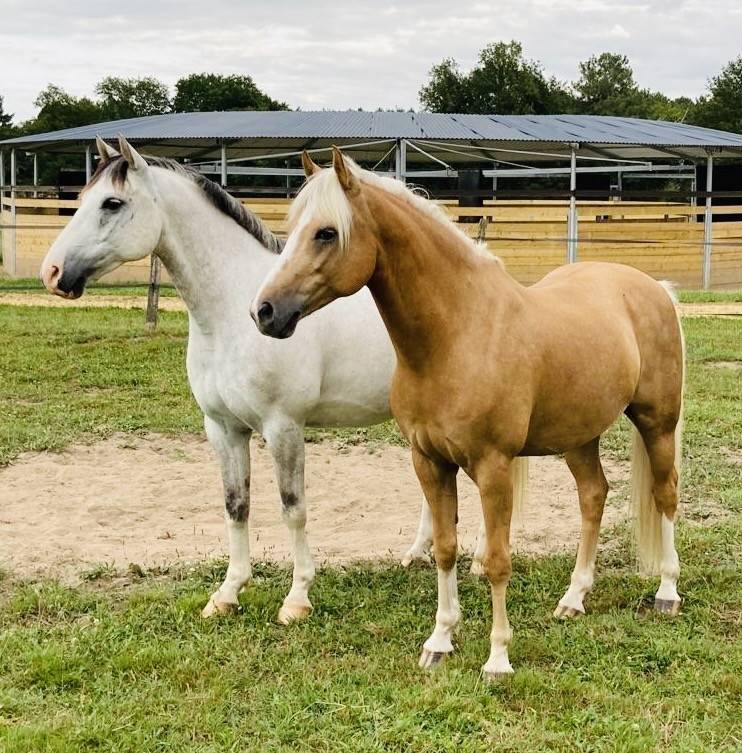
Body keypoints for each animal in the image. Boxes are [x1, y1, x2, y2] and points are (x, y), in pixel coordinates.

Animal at [39, 135, 444, 622]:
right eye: (80, 199)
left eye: (112, 203)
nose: (52, 273)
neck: (232, 313)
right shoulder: (223, 428)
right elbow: (236, 507)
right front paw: (227, 593)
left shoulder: (283, 427)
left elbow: (293, 509)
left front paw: (297, 599)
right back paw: (418, 553)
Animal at [251, 148, 685, 679]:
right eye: (294, 227)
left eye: (326, 233)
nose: (265, 311)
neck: (457, 333)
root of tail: (654, 288)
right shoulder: (429, 462)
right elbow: (444, 548)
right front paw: (440, 641)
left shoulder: (493, 466)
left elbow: (497, 559)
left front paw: (498, 658)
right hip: (579, 437)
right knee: (593, 497)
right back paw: (573, 598)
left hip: (656, 423)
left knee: (665, 494)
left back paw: (667, 592)